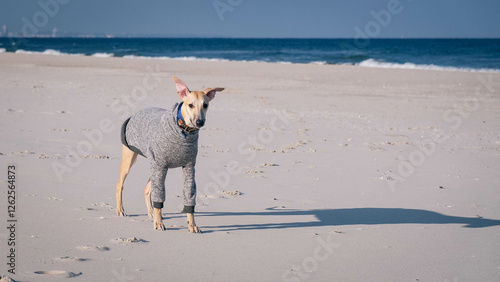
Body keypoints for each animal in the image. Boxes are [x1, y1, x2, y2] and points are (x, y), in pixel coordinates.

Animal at [116, 76, 224, 232]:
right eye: (190, 105)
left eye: (205, 105)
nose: (199, 122)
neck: (184, 131)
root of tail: (134, 114)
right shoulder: (160, 166)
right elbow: (159, 198)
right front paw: (159, 223)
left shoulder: (189, 167)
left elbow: (189, 196)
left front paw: (192, 224)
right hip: (132, 158)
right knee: (120, 184)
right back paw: (121, 210)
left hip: (156, 165)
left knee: (147, 189)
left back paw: (151, 213)